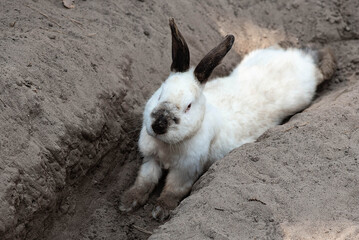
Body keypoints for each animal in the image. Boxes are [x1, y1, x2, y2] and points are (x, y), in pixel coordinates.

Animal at [119, 18, 336, 221]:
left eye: (188, 106)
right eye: (159, 94)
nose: (159, 125)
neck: (167, 146)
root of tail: (300, 58)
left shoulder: (186, 170)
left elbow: (173, 191)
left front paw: (160, 211)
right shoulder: (151, 160)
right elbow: (144, 181)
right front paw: (127, 203)